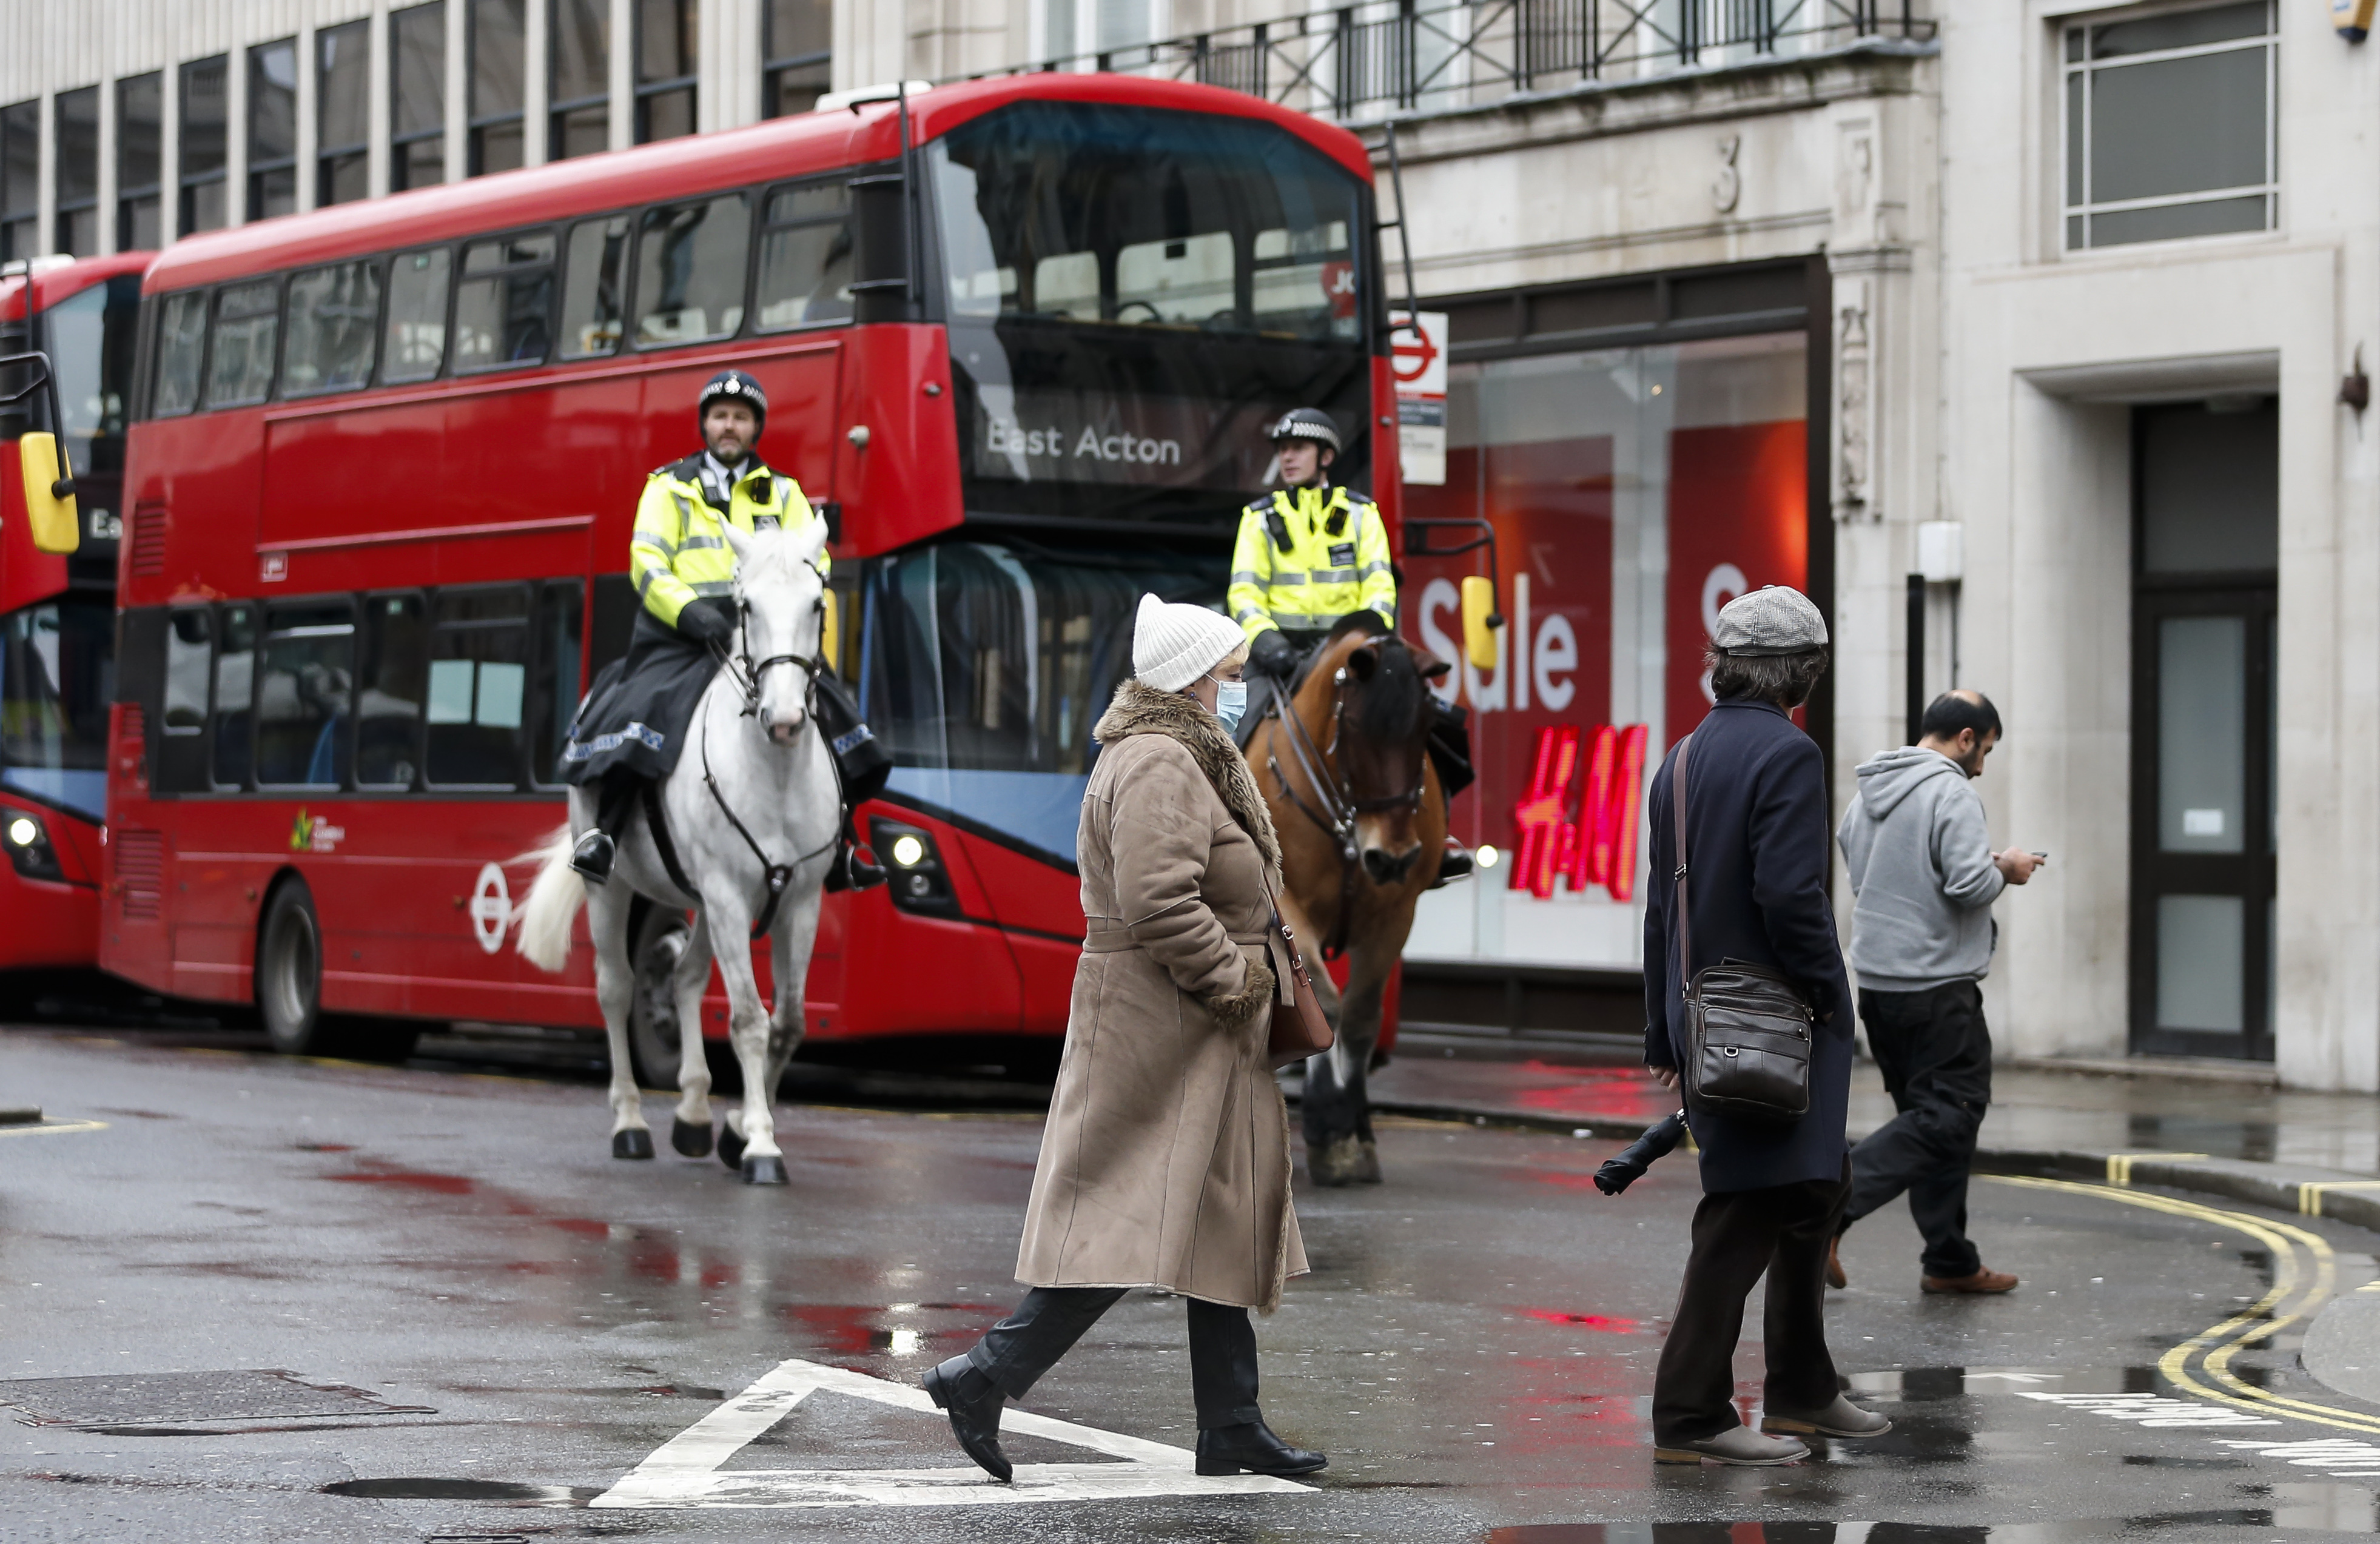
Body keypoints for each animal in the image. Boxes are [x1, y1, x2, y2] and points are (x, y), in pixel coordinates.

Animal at [516, 519, 842, 1180]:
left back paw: (693, 1113)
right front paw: (761, 1145)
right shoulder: (726, 897)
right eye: (747, 607)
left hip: (709, 905)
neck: (775, 774)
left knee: (687, 978)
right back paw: (630, 1123)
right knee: (617, 988)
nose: (785, 719)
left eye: (816, 604)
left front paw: (739, 1129)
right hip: (615, 890)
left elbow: (789, 1023)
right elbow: (748, 1019)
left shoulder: (798, 901)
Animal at [1247, 614, 1447, 1180]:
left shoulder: (1395, 916)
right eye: (1357, 727)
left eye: (1428, 726)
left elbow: (1359, 1018)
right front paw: (1328, 1125)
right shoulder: (1288, 905)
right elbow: (1323, 1002)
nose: (1393, 857)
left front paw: (1355, 1128)